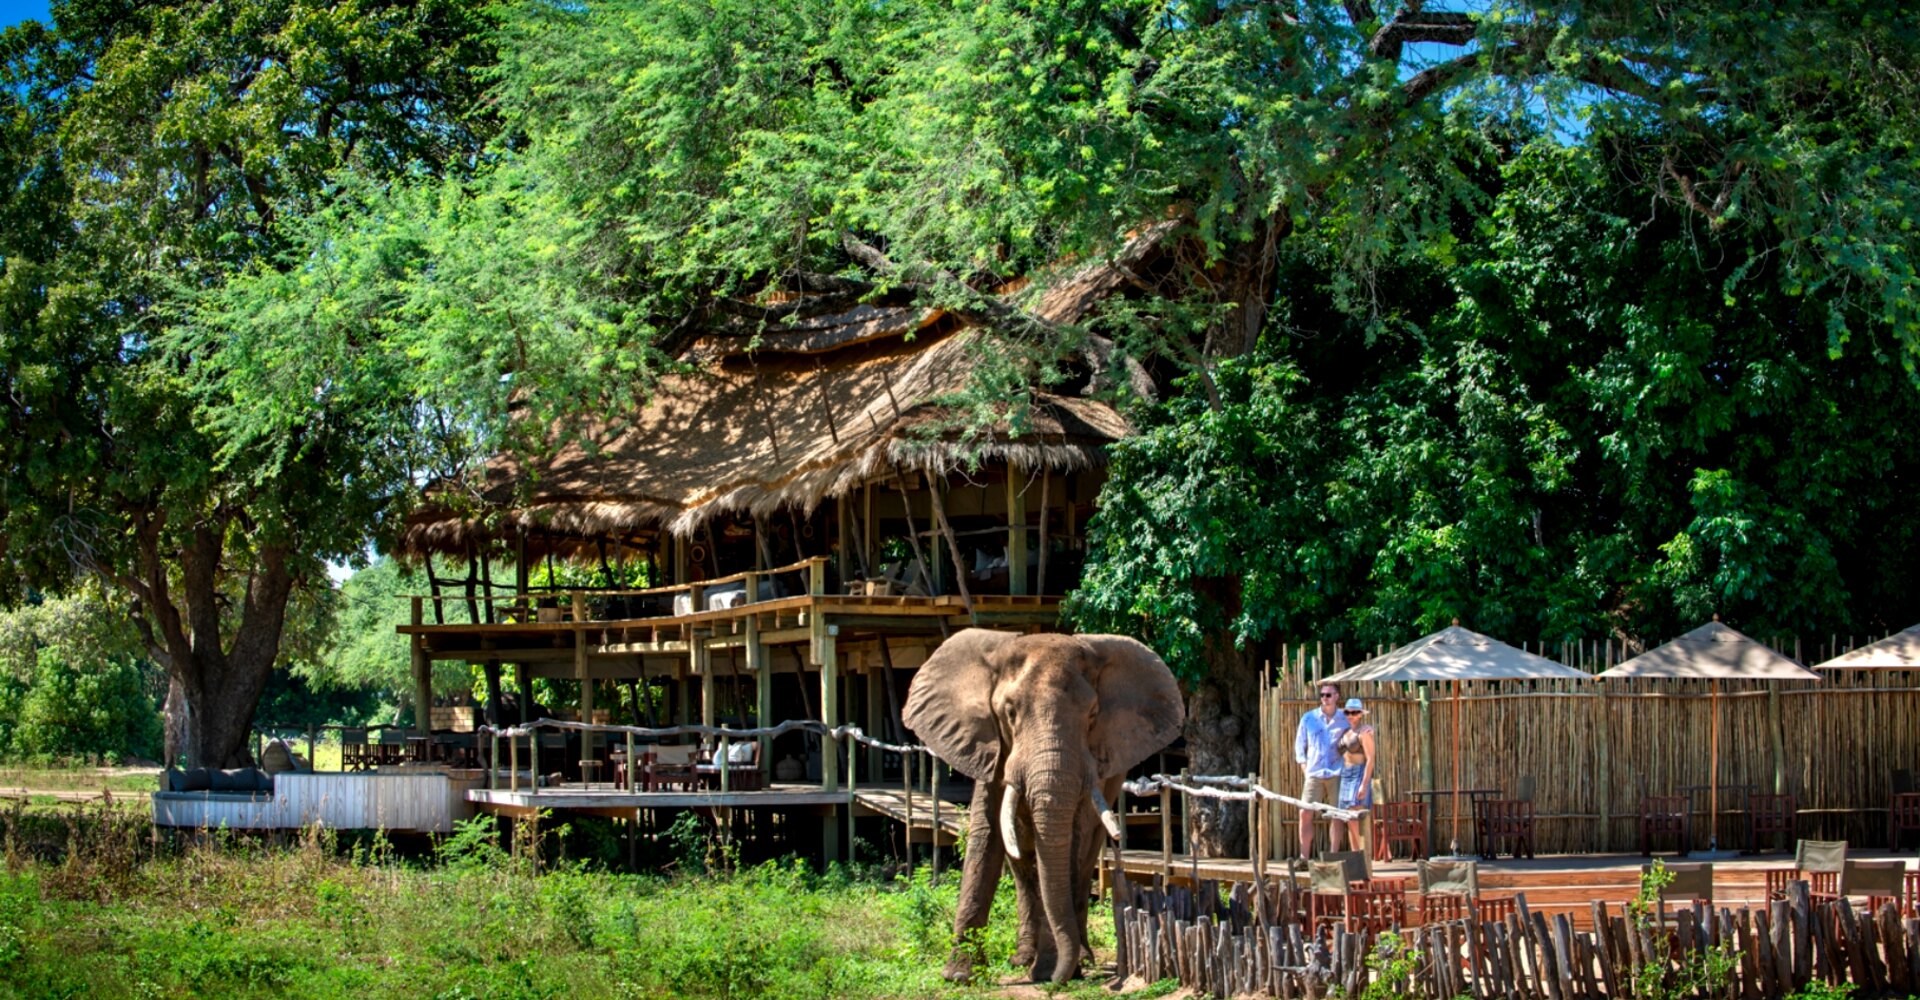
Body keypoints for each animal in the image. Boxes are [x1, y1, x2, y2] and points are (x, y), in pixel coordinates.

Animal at [902, 628, 1184, 984]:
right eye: (1009, 713)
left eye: (1093, 715)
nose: (1058, 976)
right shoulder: (992, 747)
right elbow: (986, 835)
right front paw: (959, 975)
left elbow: (1071, 840)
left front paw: (1052, 970)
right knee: (1021, 859)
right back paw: (1023, 958)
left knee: (1083, 853)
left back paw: (1077, 957)